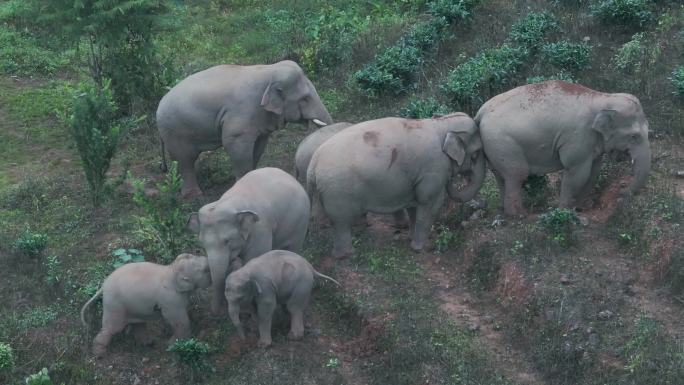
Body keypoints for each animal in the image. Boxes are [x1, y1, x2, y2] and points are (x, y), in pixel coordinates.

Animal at [79, 252, 211, 356]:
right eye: (206, 270)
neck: (171, 269)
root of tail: (103, 285)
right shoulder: (170, 300)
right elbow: (179, 320)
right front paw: (173, 345)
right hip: (115, 305)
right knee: (111, 328)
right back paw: (99, 354)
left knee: (138, 324)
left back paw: (148, 343)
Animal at [158, 60, 334, 198]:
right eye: (305, 98)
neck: (268, 70)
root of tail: (158, 107)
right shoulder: (241, 114)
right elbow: (235, 145)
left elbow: (259, 145)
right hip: (175, 131)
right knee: (185, 159)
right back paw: (194, 195)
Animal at [304, 114, 486, 258]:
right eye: (476, 153)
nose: (452, 180)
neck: (441, 122)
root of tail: (312, 165)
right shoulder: (434, 169)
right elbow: (429, 205)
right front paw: (421, 248)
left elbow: (414, 206)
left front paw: (411, 238)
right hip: (338, 192)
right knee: (341, 222)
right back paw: (346, 255)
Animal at [476, 80, 652, 216]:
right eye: (634, 136)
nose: (621, 194)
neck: (603, 97)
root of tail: (480, 112)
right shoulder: (578, 136)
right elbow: (577, 174)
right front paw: (565, 212)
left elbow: (593, 172)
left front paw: (580, 207)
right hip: (502, 143)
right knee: (517, 174)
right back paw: (519, 215)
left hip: (493, 147)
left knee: (501, 177)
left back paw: (503, 210)